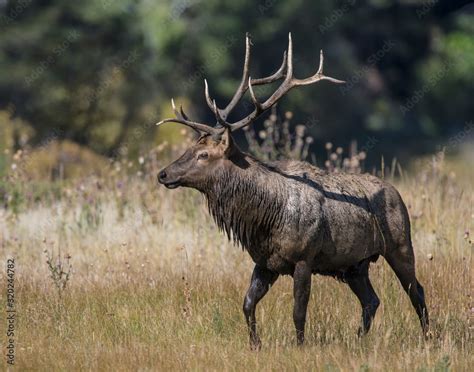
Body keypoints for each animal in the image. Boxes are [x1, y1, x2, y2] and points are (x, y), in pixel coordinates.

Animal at [156, 33, 430, 348]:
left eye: (203, 155)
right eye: (191, 148)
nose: (163, 174)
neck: (262, 219)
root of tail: (397, 193)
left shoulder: (303, 258)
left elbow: (298, 311)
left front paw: (299, 346)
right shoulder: (264, 262)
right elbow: (247, 304)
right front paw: (255, 344)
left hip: (400, 244)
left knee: (416, 290)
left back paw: (428, 337)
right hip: (355, 265)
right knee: (372, 300)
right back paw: (358, 339)